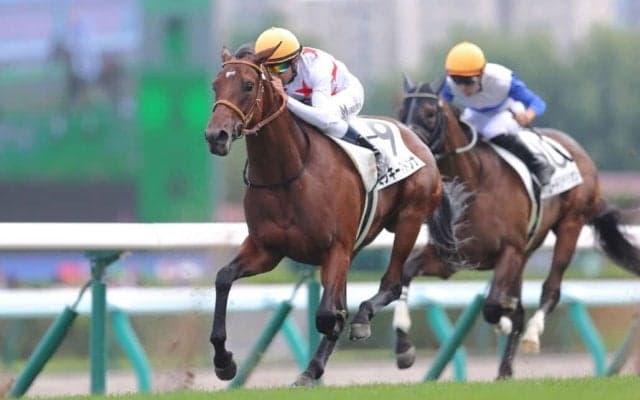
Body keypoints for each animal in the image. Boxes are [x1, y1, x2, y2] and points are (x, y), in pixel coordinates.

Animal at [203, 46, 465, 386]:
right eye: (215, 85)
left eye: (248, 85)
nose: (216, 135)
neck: (289, 172)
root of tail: (419, 140)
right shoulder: (266, 250)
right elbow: (223, 278)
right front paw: (224, 361)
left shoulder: (335, 248)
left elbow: (328, 314)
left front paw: (342, 324)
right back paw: (313, 367)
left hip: (409, 218)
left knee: (393, 283)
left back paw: (369, 326)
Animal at [393, 76, 640, 379]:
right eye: (401, 112)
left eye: (429, 113)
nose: (412, 144)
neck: (476, 183)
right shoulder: (451, 258)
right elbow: (406, 273)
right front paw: (403, 347)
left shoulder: (509, 251)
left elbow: (492, 306)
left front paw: (504, 321)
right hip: (527, 250)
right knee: (519, 302)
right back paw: (504, 369)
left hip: (570, 224)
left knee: (551, 288)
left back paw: (532, 335)